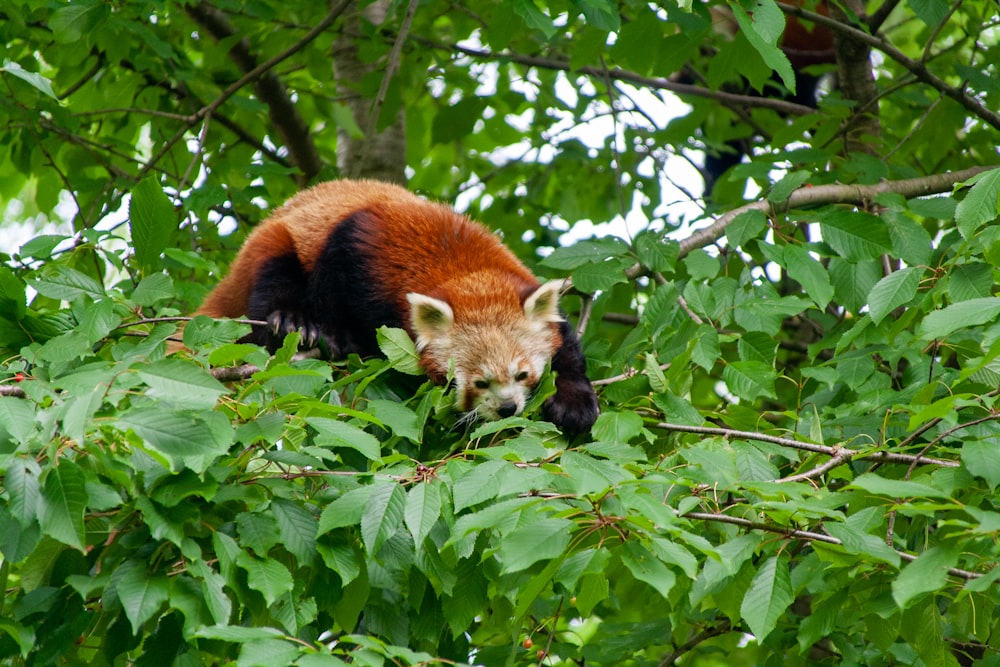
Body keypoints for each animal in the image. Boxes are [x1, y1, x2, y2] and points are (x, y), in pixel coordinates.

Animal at [195, 180, 600, 436]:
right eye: (478, 382)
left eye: (522, 374)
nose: (507, 409)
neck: (466, 270)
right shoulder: (358, 248)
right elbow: (331, 291)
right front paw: (337, 336)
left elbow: (565, 347)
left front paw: (573, 402)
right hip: (275, 241)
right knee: (274, 278)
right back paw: (291, 322)